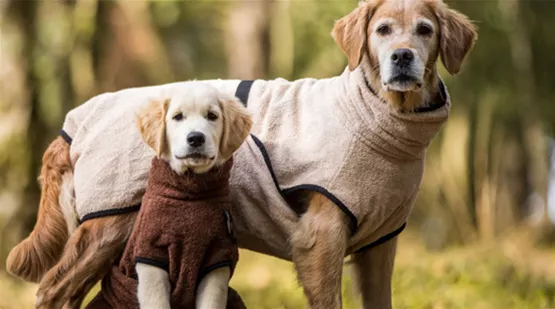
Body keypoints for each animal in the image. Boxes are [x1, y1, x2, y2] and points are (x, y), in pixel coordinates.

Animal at [5, 1, 478, 306]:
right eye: (382, 30)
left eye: (425, 29)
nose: (402, 57)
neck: (378, 112)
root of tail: (76, 120)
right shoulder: (321, 237)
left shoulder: (380, 244)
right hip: (108, 226)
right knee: (51, 290)